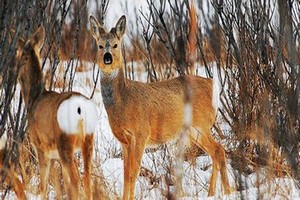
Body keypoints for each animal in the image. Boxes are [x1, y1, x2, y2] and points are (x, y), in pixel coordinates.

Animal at [15, 26, 98, 198]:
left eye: (18, 55)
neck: (33, 99)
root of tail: (81, 109)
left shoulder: (40, 146)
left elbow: (43, 186)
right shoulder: (54, 155)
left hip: (64, 141)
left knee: (76, 181)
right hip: (88, 140)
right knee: (87, 180)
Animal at [89, 13, 232, 199]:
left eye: (115, 45)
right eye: (99, 46)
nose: (107, 57)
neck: (123, 101)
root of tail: (213, 86)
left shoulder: (141, 133)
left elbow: (133, 172)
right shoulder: (123, 140)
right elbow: (126, 173)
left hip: (201, 124)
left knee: (219, 150)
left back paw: (228, 191)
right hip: (194, 130)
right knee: (215, 151)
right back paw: (212, 193)